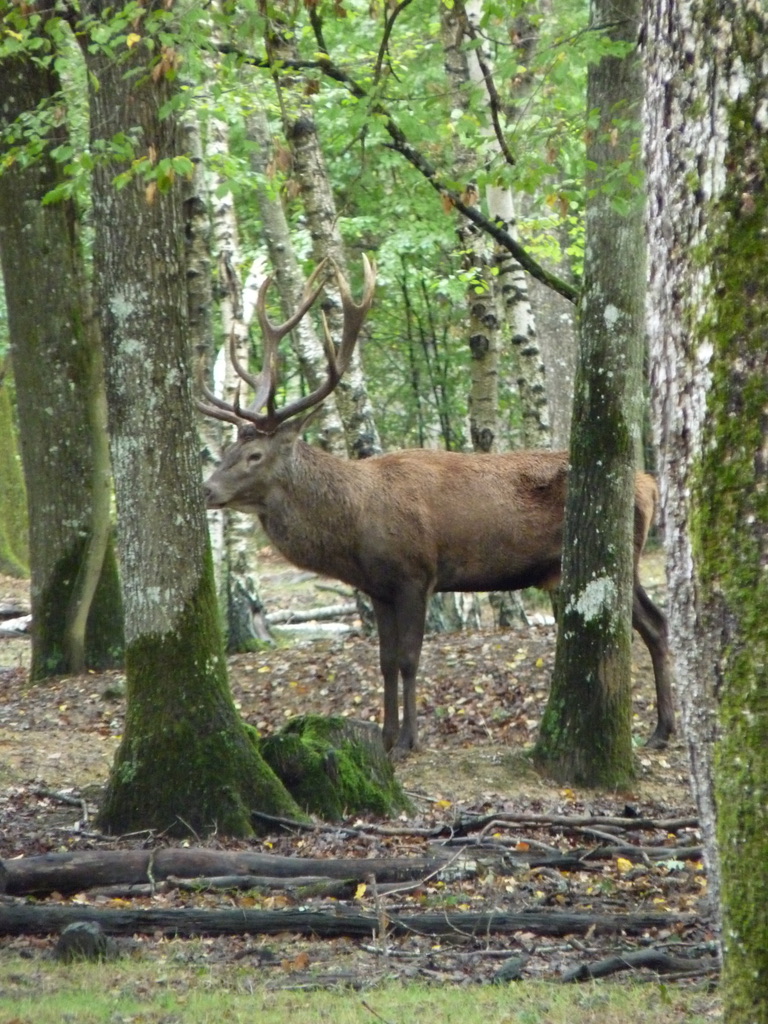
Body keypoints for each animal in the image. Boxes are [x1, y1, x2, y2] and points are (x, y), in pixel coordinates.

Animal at [201, 260, 675, 761]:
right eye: (230, 449)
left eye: (254, 456)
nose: (207, 490)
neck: (354, 531)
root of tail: (648, 484)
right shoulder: (378, 587)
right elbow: (385, 661)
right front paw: (385, 737)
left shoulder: (416, 574)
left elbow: (410, 659)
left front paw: (409, 741)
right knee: (655, 624)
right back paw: (661, 730)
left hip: (619, 554)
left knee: (653, 624)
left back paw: (661, 729)